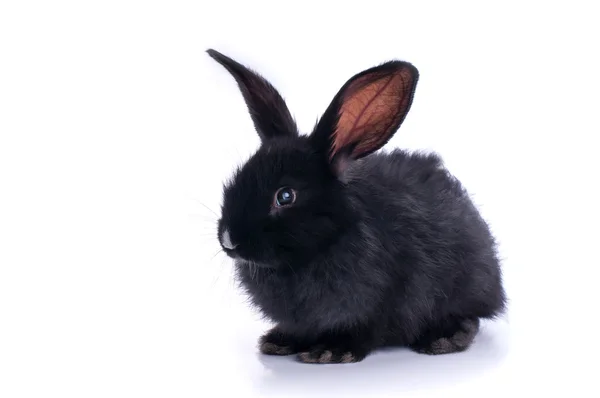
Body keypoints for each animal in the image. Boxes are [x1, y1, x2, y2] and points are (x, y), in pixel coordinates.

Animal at [206, 49, 506, 364]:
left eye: (285, 196)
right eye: (237, 178)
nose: (228, 239)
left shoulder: (381, 302)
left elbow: (365, 330)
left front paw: (330, 351)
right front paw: (279, 341)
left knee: (469, 317)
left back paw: (444, 338)